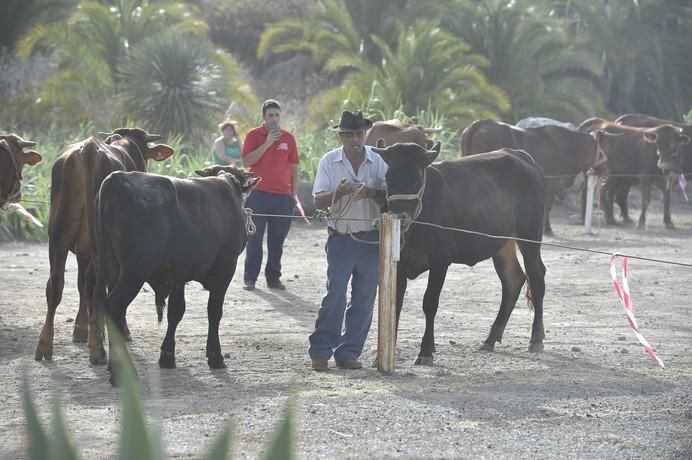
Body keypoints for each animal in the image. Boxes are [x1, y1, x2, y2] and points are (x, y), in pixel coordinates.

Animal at [93, 165, 260, 384]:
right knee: (115, 307)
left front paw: (167, 355)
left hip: (114, 268)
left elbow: (176, 312)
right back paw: (119, 372)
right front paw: (215, 356)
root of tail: (118, 177)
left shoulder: (177, 274)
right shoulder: (225, 269)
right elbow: (214, 312)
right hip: (134, 272)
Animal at [370, 141, 548, 366]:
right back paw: (491, 338)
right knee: (513, 280)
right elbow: (395, 304)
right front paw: (382, 355)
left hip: (529, 235)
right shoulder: (399, 264)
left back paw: (536, 339)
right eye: (388, 178)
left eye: (415, 179)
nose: (400, 217)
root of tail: (520, 155)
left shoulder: (440, 261)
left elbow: (430, 303)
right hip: (502, 244)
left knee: (536, 277)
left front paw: (426, 351)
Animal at [462, 119, 608, 234]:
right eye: (602, 153)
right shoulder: (552, 181)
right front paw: (547, 229)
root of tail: (481, 123)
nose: (606, 172)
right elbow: (547, 206)